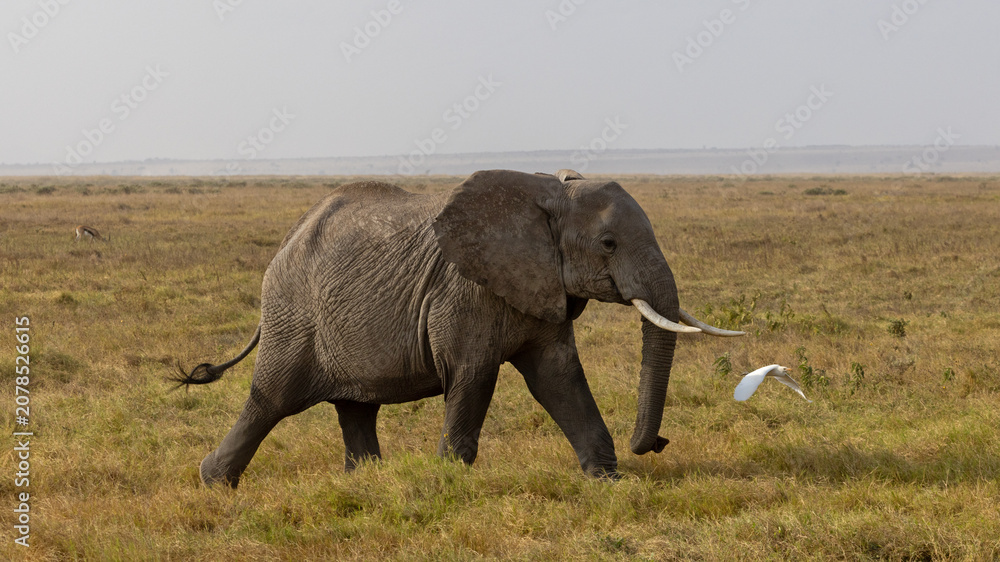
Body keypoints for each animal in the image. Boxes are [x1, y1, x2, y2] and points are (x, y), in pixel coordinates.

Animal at [175, 169, 743, 488]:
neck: (547, 195)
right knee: (271, 399)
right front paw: (449, 484)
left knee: (355, 407)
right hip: (295, 315)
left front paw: (609, 483)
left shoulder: (540, 287)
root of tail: (287, 239)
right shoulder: (466, 291)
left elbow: (558, 378)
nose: (657, 443)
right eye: (608, 244)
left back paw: (369, 485)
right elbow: (473, 376)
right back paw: (213, 484)